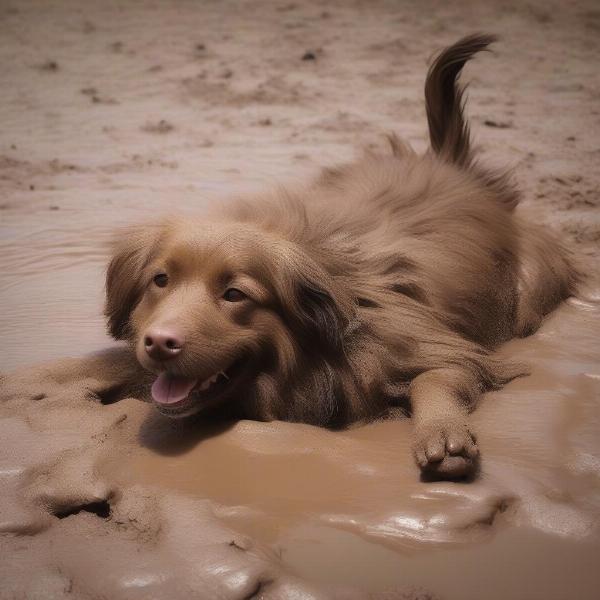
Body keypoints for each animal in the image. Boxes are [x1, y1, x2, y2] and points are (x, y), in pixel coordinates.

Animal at [2, 36, 580, 478]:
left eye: (235, 294)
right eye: (159, 281)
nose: (161, 343)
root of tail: (457, 168)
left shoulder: (431, 346)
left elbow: (440, 377)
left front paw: (443, 433)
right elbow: (97, 359)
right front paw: (29, 382)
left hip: (530, 288)